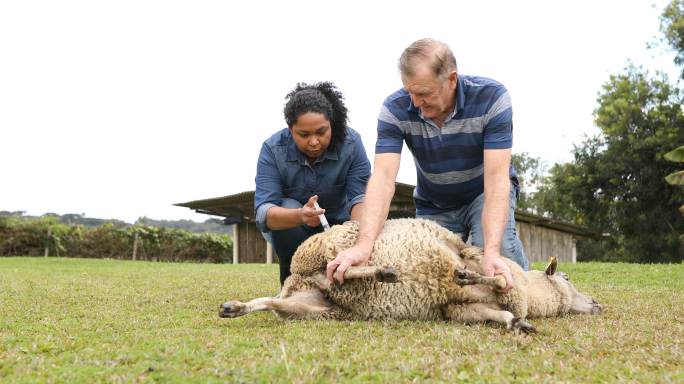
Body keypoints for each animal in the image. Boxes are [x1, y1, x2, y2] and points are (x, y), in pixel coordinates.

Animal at [220, 218, 604, 332]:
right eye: (568, 278)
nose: (598, 304)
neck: (531, 293)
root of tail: (297, 276)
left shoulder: (457, 310)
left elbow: (496, 311)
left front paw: (516, 323)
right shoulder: (471, 257)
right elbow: (488, 275)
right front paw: (468, 276)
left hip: (315, 308)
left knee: (274, 302)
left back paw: (234, 308)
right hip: (333, 243)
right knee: (341, 265)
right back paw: (383, 271)